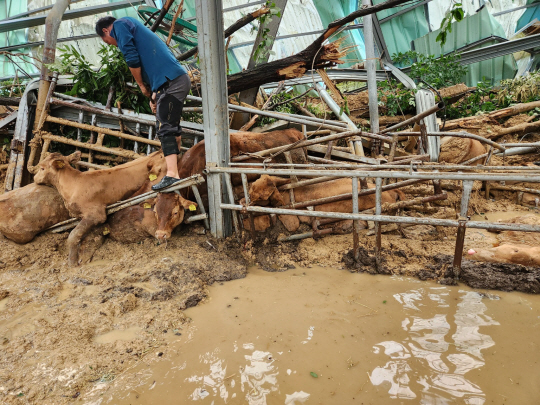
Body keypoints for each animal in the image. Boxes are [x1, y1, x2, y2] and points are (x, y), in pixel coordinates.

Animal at [33, 149, 167, 266]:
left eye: (42, 168)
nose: (34, 178)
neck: (73, 185)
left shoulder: (96, 214)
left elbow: (73, 235)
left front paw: (72, 262)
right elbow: (88, 237)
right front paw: (83, 257)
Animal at [240, 174, 404, 234]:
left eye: (261, 195)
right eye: (252, 187)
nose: (243, 201)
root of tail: (393, 191)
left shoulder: (290, 218)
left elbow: (291, 225)